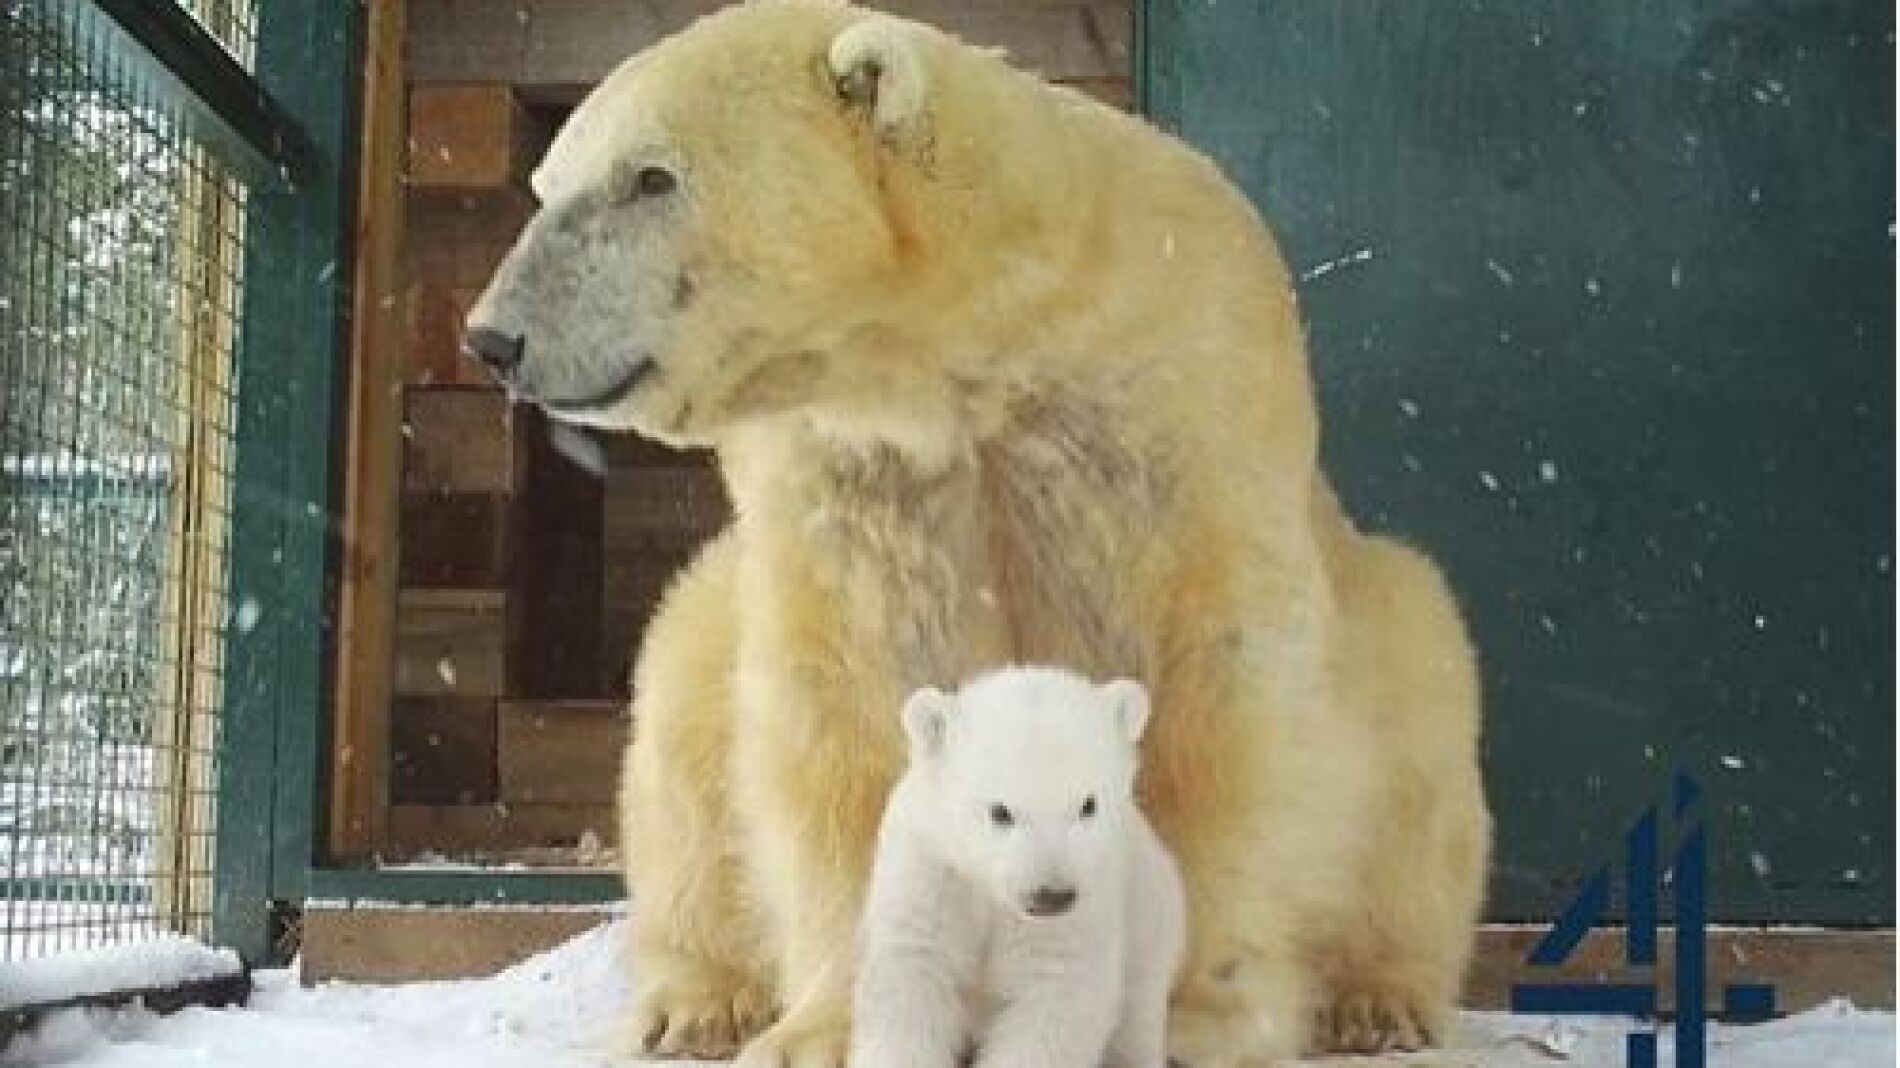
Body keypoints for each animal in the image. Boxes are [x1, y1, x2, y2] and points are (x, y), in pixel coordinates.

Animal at [850, 668, 1185, 1068]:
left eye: (1088, 804)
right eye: (1000, 811)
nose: (1052, 895)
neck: (990, 890)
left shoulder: (1089, 898)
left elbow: (1056, 993)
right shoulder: (931, 870)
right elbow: (910, 975)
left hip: (1153, 922)